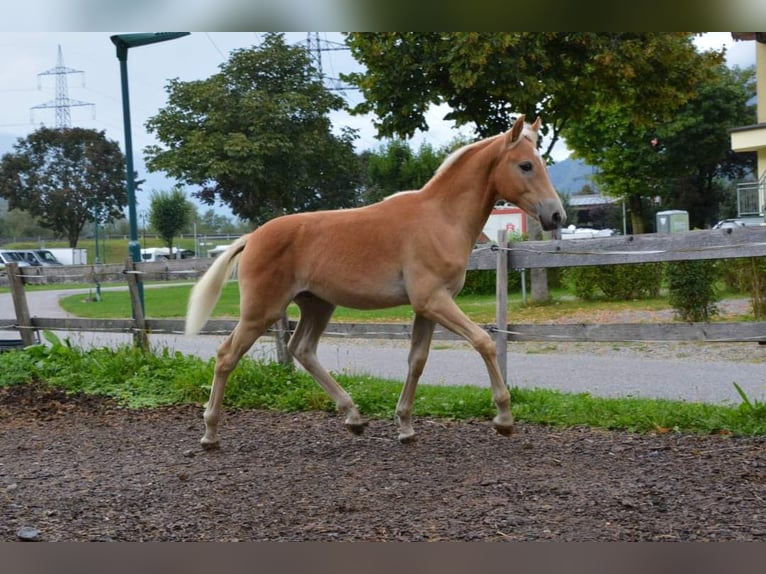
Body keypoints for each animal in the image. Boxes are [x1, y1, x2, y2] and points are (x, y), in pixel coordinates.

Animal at [186, 116, 568, 450]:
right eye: (525, 165)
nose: (556, 215)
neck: (441, 218)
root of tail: (252, 237)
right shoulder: (433, 300)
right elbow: (484, 342)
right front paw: (504, 418)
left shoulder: (427, 308)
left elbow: (417, 360)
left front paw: (406, 427)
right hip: (260, 312)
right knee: (227, 355)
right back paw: (209, 434)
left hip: (317, 305)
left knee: (302, 349)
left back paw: (354, 417)